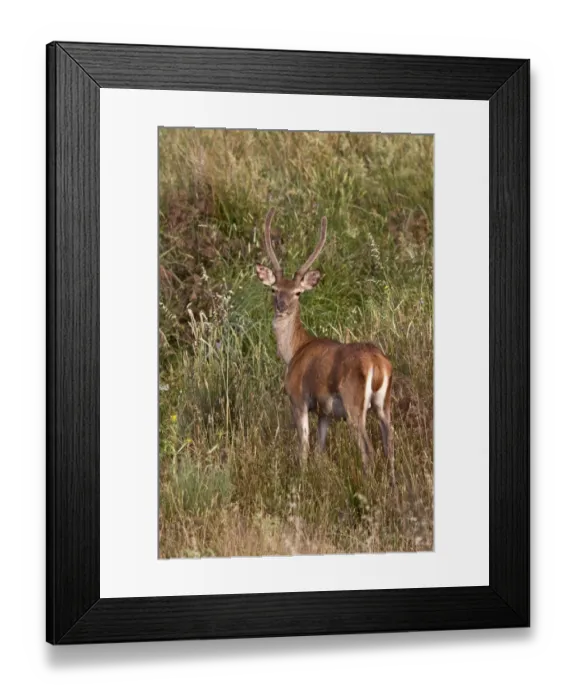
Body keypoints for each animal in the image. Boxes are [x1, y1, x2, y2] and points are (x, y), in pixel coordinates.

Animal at [255, 208, 395, 481]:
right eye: (274, 289)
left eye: (298, 292)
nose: (282, 306)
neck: (294, 351)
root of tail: (378, 364)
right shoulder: (325, 412)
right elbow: (320, 450)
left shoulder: (298, 398)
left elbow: (304, 448)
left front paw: (300, 478)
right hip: (383, 404)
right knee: (390, 444)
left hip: (354, 402)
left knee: (368, 449)